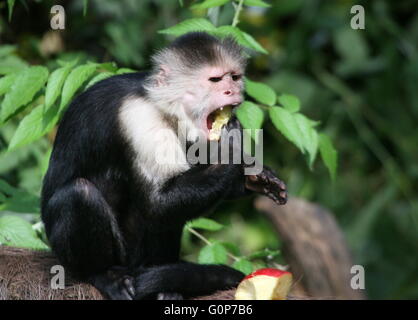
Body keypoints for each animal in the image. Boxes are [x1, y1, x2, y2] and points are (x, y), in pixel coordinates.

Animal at [40, 32, 286, 300]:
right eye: (215, 80)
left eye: (234, 77)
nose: (231, 90)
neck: (164, 106)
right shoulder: (139, 116)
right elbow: (158, 203)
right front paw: (231, 147)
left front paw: (257, 178)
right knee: (80, 193)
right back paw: (102, 274)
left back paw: (167, 284)